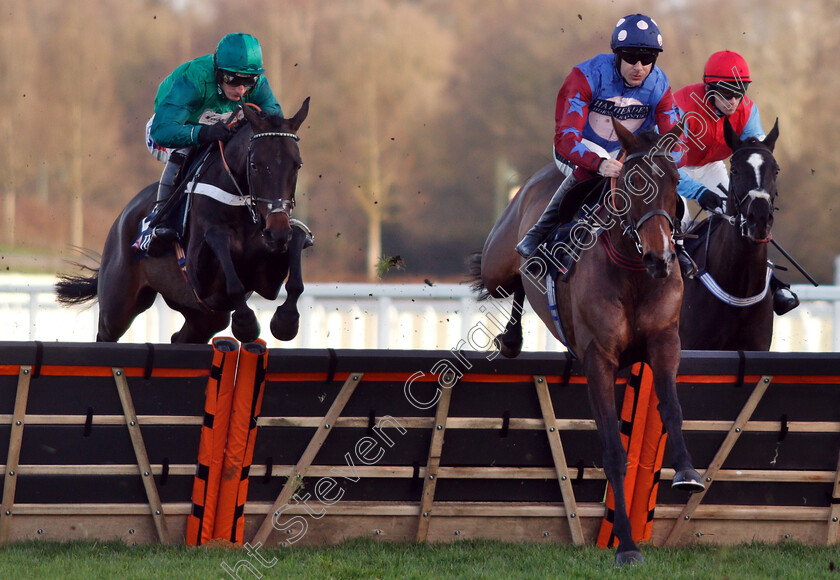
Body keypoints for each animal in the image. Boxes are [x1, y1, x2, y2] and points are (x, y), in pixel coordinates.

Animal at [56, 99, 312, 344]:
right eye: (254, 165)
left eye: (297, 164)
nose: (277, 232)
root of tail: (122, 217)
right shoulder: (200, 278)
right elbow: (218, 239)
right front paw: (246, 322)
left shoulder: (265, 280)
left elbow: (296, 248)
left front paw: (286, 320)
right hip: (118, 305)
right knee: (106, 334)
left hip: (205, 316)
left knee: (180, 338)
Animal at [470, 120, 704, 564]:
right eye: (631, 183)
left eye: (675, 180)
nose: (661, 259)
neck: (633, 273)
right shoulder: (598, 359)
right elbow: (613, 450)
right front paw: (626, 546)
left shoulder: (665, 341)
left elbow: (673, 408)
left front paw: (687, 471)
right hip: (496, 262)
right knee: (508, 280)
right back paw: (510, 336)